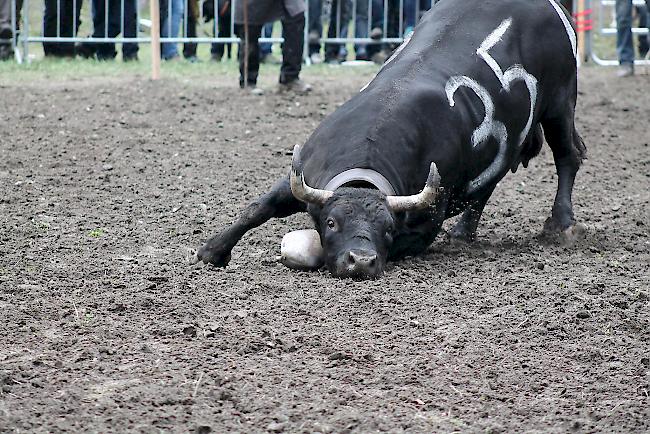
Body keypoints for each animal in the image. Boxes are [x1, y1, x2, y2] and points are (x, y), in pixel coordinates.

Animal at [195, 0, 584, 278]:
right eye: (332, 222)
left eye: (387, 227)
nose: (361, 261)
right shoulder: (302, 174)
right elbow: (258, 208)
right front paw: (212, 251)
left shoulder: (422, 228)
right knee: (489, 182)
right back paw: (463, 234)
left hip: (560, 104)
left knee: (568, 155)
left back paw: (562, 224)